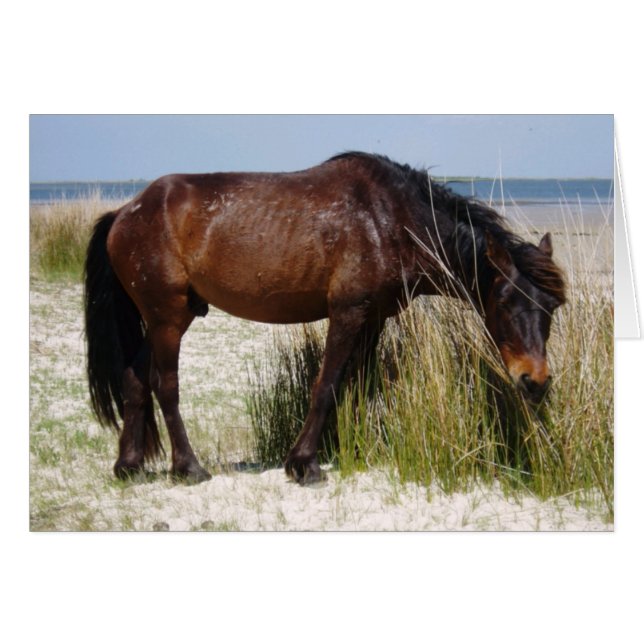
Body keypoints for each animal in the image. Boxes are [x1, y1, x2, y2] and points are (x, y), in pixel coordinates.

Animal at [84, 152, 566, 485]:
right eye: (504, 302)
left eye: (553, 309)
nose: (535, 382)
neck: (391, 217)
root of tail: (126, 212)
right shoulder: (348, 312)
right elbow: (326, 384)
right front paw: (303, 463)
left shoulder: (375, 318)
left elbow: (359, 384)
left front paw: (357, 447)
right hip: (168, 317)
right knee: (164, 385)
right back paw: (188, 467)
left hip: (163, 319)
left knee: (134, 379)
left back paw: (128, 464)